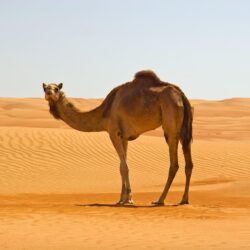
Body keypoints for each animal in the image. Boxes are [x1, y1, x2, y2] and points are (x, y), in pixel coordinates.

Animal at [43, 70, 193, 205]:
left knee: (174, 164)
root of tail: (180, 94)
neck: (105, 112)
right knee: (189, 163)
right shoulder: (124, 136)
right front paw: (121, 199)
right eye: (45, 88)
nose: (49, 93)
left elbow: (124, 167)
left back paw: (160, 200)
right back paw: (184, 199)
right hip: (183, 129)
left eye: (56, 88)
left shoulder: (113, 132)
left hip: (170, 121)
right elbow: (122, 165)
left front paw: (129, 199)